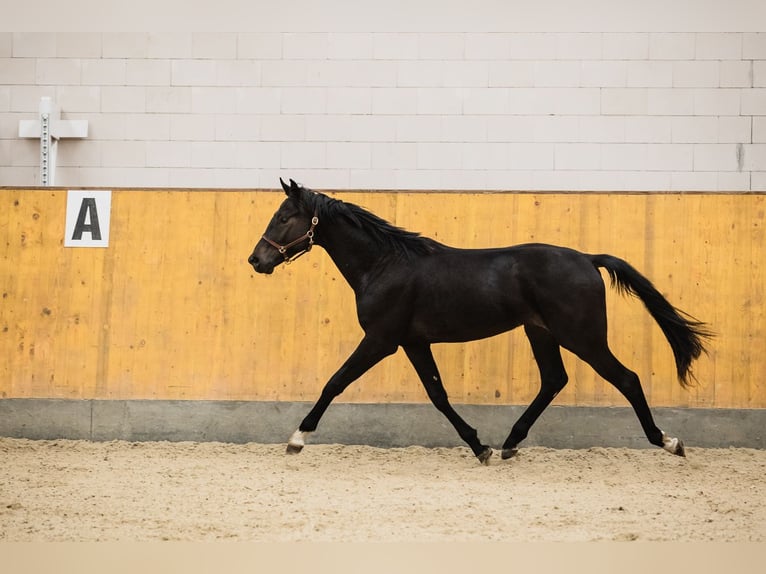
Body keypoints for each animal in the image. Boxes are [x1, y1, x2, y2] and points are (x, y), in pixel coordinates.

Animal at [249, 181, 712, 468]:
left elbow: (335, 382)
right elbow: (438, 396)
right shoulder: (413, 343)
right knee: (554, 380)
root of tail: (587, 258)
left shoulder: (381, 339)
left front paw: (297, 439)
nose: (257, 259)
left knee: (627, 379)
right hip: (541, 332)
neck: (384, 264)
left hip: (582, 336)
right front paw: (480, 447)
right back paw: (508, 444)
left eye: (285, 217)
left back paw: (669, 442)